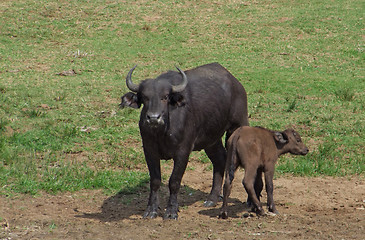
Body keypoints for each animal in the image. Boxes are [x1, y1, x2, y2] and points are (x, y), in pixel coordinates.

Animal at [119, 62, 247, 219]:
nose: (154, 118)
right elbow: (155, 181)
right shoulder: (149, 150)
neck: (162, 132)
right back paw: (212, 199)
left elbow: (174, 181)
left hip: (238, 125)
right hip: (211, 139)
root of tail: (236, 83)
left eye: (165, 97)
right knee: (220, 160)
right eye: (144, 97)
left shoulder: (183, 152)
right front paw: (151, 210)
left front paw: (171, 211)